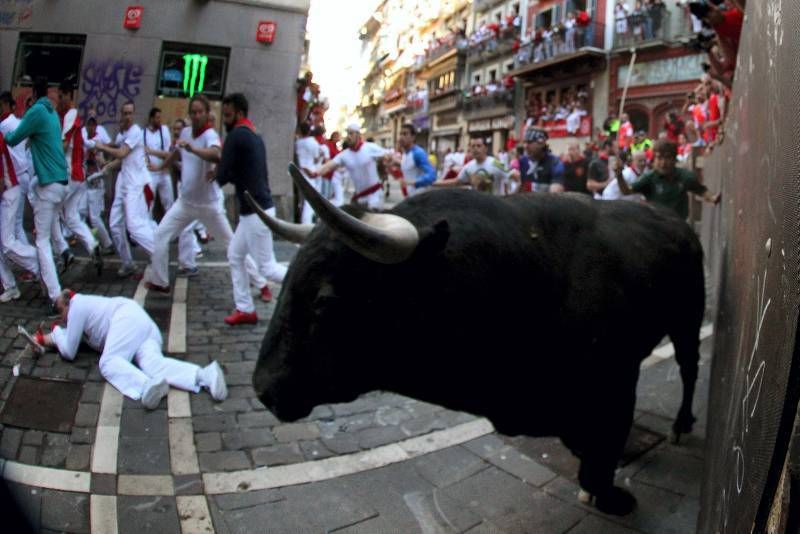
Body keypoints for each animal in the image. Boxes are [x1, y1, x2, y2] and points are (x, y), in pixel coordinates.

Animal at [253, 169, 704, 520]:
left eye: (325, 300)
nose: (262, 387)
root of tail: (677, 220)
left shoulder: (618, 380)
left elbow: (606, 447)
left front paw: (610, 497)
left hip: (688, 320)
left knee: (690, 368)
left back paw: (682, 425)